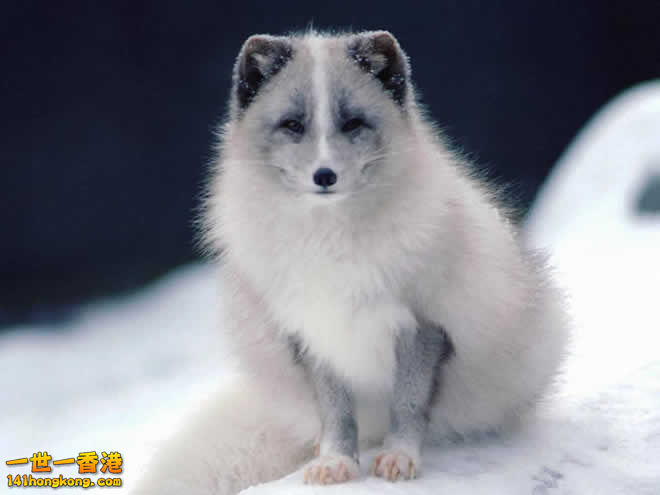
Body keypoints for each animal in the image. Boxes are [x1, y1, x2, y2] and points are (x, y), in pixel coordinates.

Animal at [133, 30, 567, 494]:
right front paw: (335, 463)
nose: (325, 176)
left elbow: (408, 404)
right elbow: (336, 414)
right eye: (293, 125)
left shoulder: (425, 324)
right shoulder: (315, 332)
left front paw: (399, 457)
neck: (331, 242)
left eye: (353, 123)